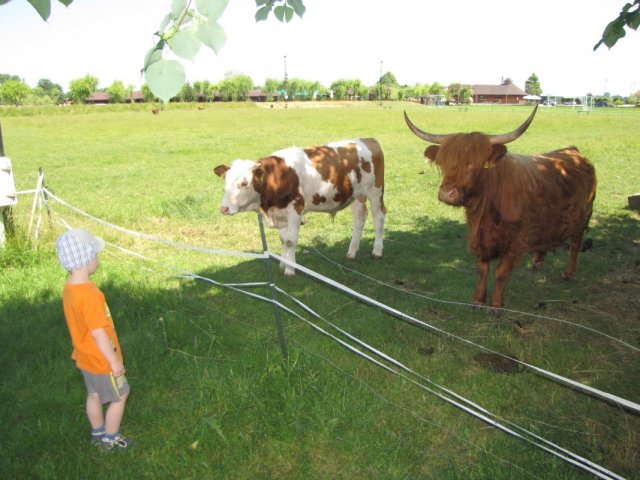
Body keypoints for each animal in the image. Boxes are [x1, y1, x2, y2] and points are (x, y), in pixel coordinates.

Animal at [213, 138, 386, 275]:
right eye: (226, 181)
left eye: (244, 183)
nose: (223, 208)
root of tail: (368, 140)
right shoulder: (281, 213)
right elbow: (283, 240)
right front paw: (282, 265)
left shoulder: (295, 209)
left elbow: (290, 241)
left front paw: (290, 270)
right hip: (357, 196)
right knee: (359, 218)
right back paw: (351, 252)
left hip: (375, 192)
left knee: (378, 217)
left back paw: (377, 251)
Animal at [404, 105, 597, 308]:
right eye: (443, 163)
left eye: (474, 164)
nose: (446, 194)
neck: (486, 209)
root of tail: (573, 151)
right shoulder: (479, 238)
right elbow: (482, 270)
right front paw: (478, 300)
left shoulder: (516, 240)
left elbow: (501, 272)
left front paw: (496, 305)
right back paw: (537, 264)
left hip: (583, 216)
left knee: (575, 244)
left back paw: (569, 273)